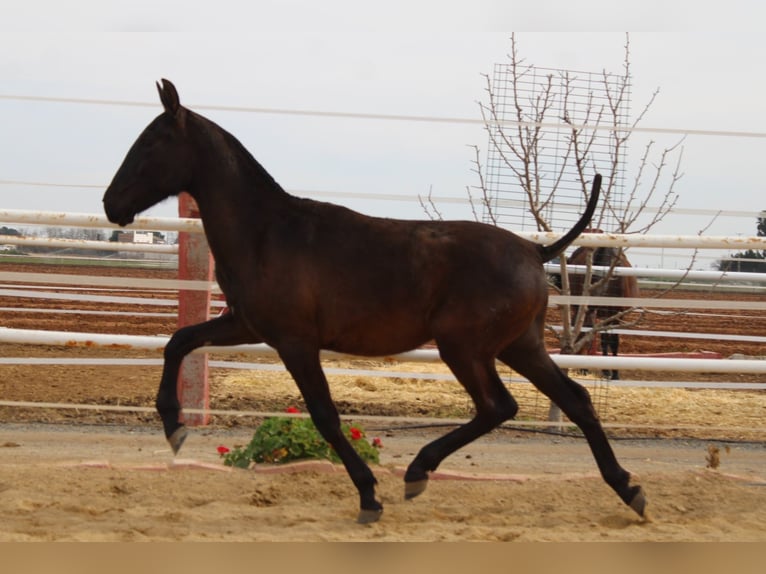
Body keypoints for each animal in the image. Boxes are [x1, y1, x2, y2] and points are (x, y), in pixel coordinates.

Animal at [103, 79, 648, 524]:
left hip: (465, 348)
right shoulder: (247, 325)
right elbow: (178, 341)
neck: (266, 232)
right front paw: (173, 427)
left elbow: (324, 415)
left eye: (151, 143)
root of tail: (536, 250)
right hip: (521, 347)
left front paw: (368, 496)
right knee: (574, 400)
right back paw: (629, 489)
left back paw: (418, 472)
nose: (111, 204)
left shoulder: (295, 342)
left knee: (499, 405)